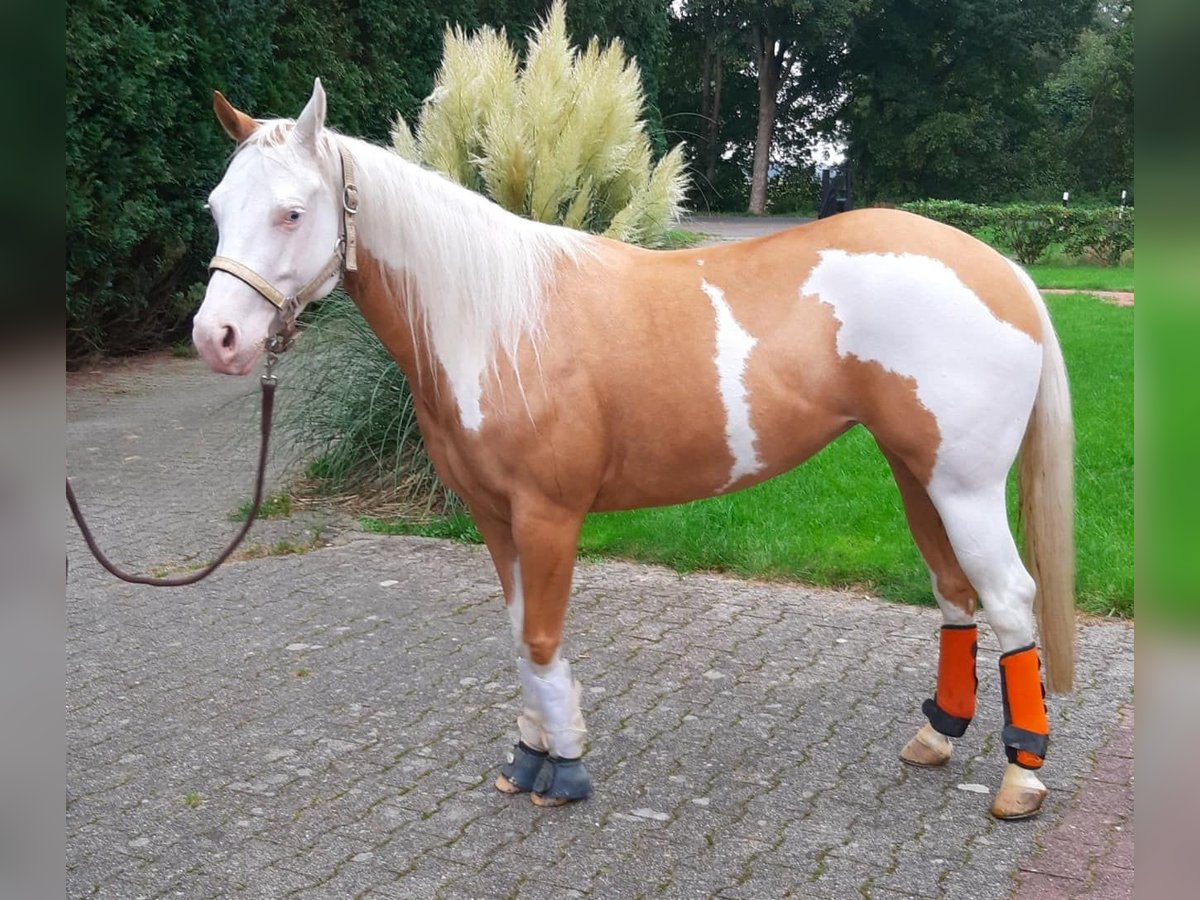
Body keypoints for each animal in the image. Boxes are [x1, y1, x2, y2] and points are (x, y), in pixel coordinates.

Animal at [196, 81, 1080, 820]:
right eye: (215, 207)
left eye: (292, 212)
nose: (217, 338)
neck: (497, 321)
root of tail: (1002, 270)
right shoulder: (493, 517)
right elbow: (518, 635)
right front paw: (528, 756)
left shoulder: (549, 516)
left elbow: (541, 638)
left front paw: (564, 769)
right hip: (916, 473)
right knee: (954, 594)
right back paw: (936, 737)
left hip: (963, 485)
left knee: (1009, 601)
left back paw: (1021, 777)